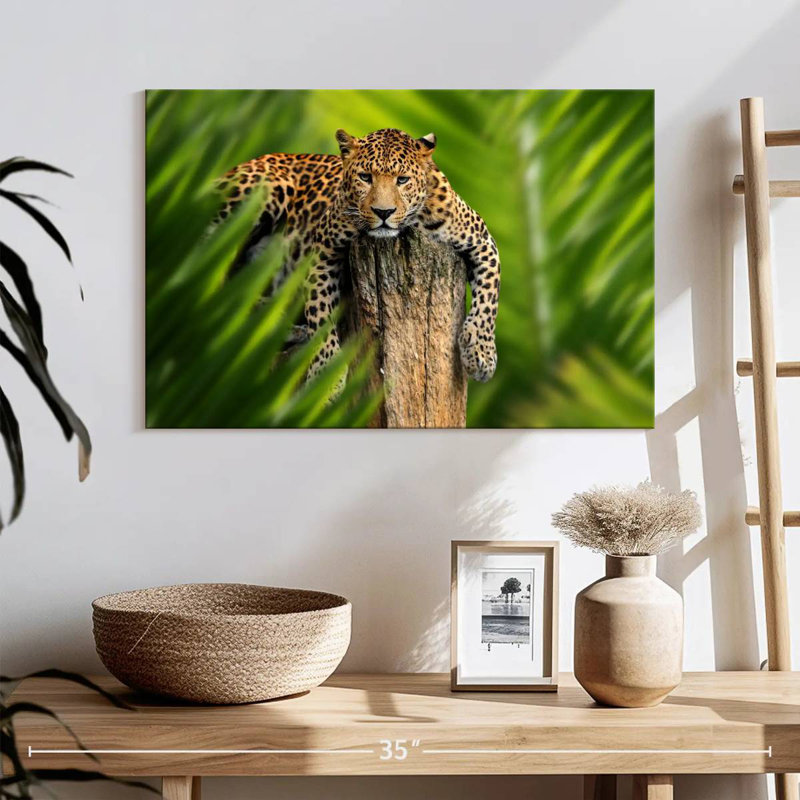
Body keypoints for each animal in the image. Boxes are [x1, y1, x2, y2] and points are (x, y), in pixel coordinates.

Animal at [212, 128, 500, 385]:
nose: (383, 212)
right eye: (365, 177)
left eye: (402, 180)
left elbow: (489, 298)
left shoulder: (482, 240)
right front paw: (326, 374)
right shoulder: (322, 248)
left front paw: (481, 353)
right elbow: (320, 310)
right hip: (262, 190)